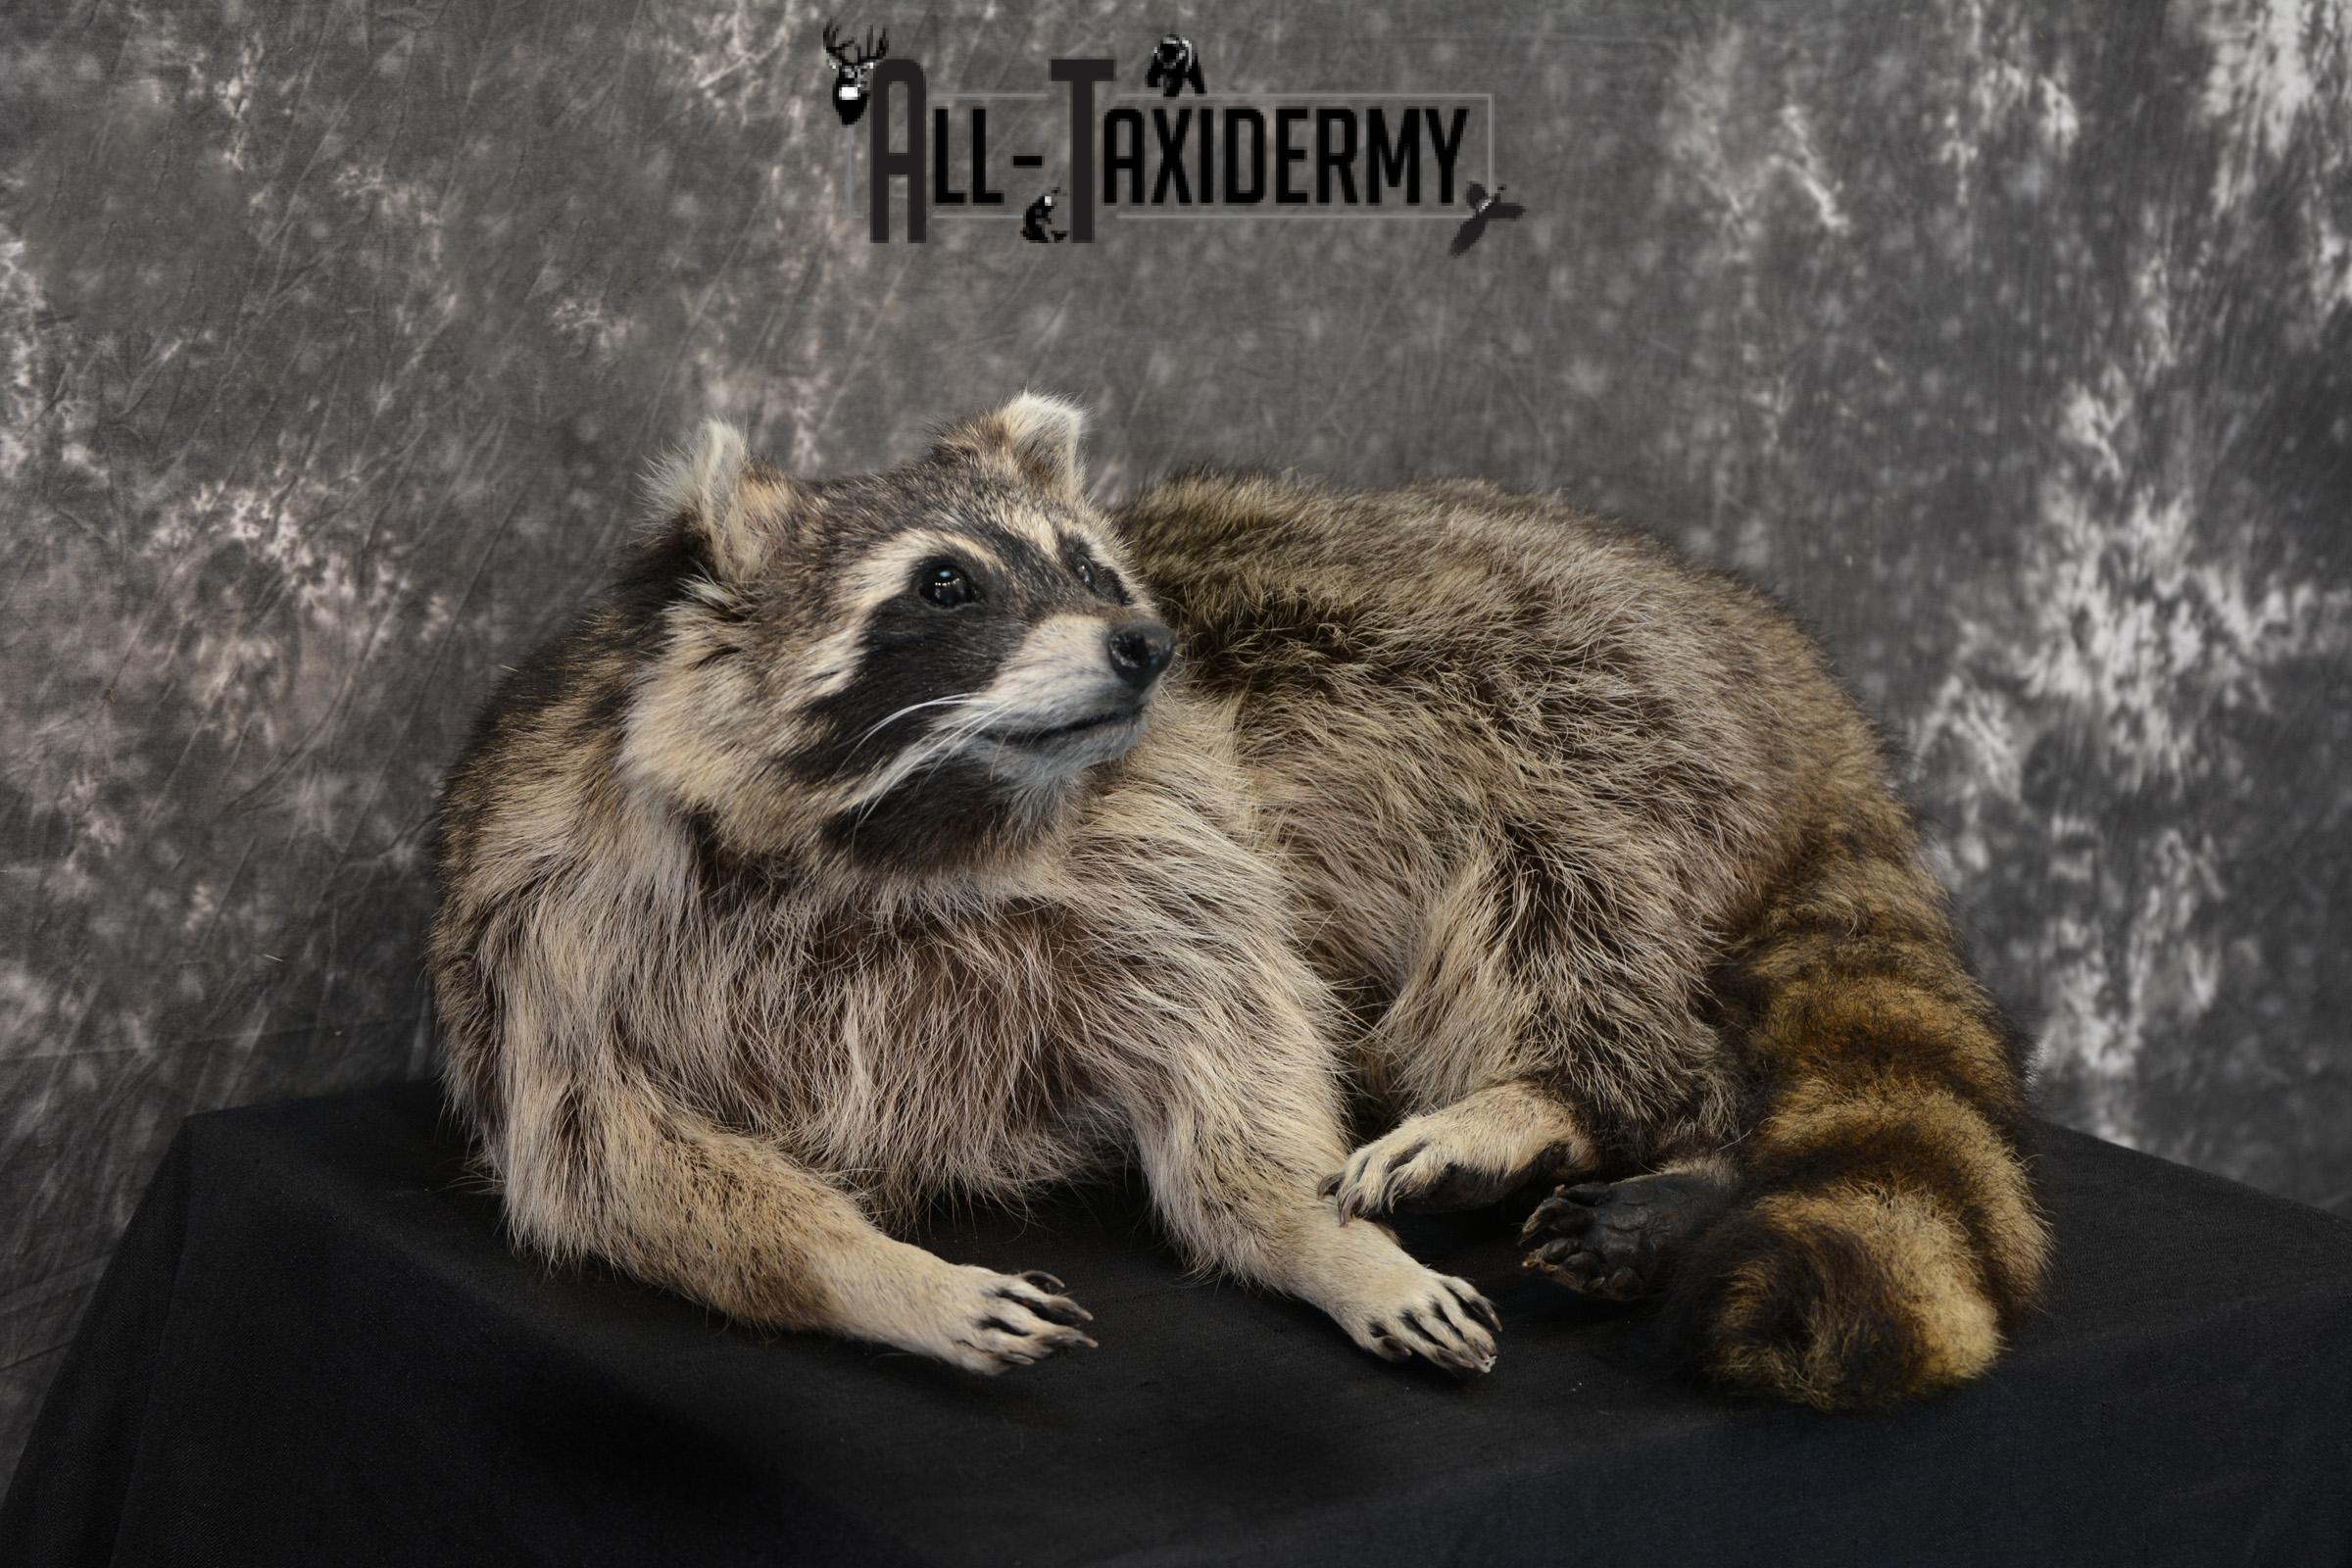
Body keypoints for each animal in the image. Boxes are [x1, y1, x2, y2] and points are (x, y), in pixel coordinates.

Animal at [429, 396, 1504, 1378]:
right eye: (944, 583)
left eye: (1089, 568)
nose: (1145, 642)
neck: (925, 827)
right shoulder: (565, 924)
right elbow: (604, 1152)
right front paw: (881, 1273)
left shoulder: (1168, 865)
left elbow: (1233, 1102)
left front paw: (1333, 1244)